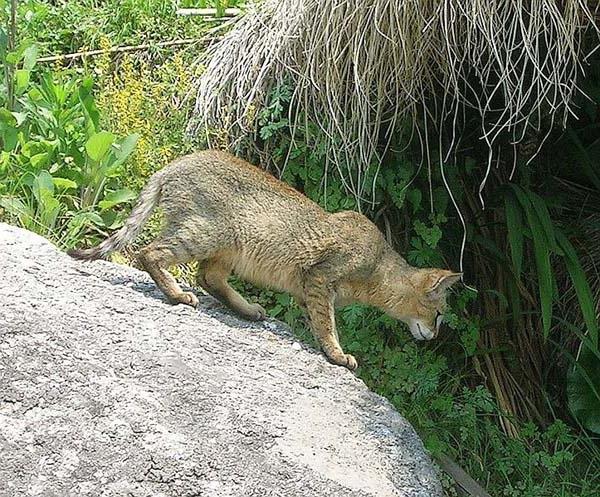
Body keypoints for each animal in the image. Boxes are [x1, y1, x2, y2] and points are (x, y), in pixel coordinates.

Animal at [71, 149, 464, 370]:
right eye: (439, 314)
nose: (435, 334)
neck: (379, 267)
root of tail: (172, 166)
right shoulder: (320, 278)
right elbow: (328, 325)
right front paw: (338, 355)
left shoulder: (308, 289)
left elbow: (317, 322)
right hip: (204, 232)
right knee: (149, 253)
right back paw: (178, 294)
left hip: (225, 248)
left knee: (208, 277)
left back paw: (248, 310)